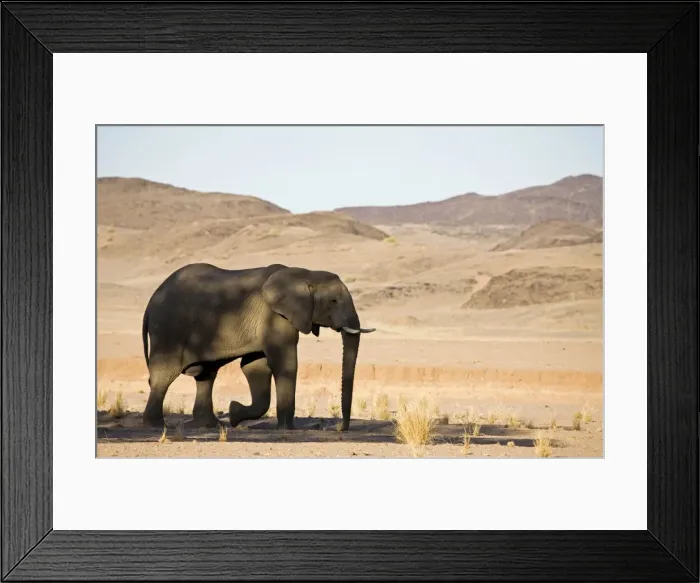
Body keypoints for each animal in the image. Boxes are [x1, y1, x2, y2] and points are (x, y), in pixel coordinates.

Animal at [141, 262, 375, 431]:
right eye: (333, 301)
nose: (338, 428)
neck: (305, 273)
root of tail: (150, 302)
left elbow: (255, 367)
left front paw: (235, 414)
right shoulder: (274, 317)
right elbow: (285, 363)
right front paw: (287, 429)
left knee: (206, 375)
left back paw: (210, 425)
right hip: (169, 329)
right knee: (165, 374)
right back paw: (157, 426)